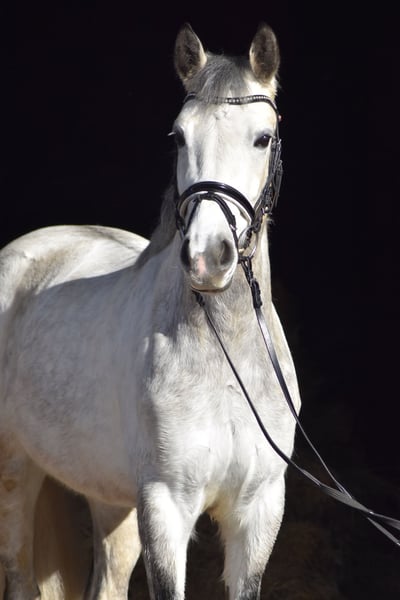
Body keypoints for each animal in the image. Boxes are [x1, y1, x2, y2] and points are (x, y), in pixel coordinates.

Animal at [0, 22, 301, 599]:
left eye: (263, 138)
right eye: (179, 136)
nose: (207, 257)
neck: (226, 359)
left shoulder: (259, 510)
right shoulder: (166, 505)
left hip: (111, 499)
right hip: (15, 471)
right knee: (20, 573)